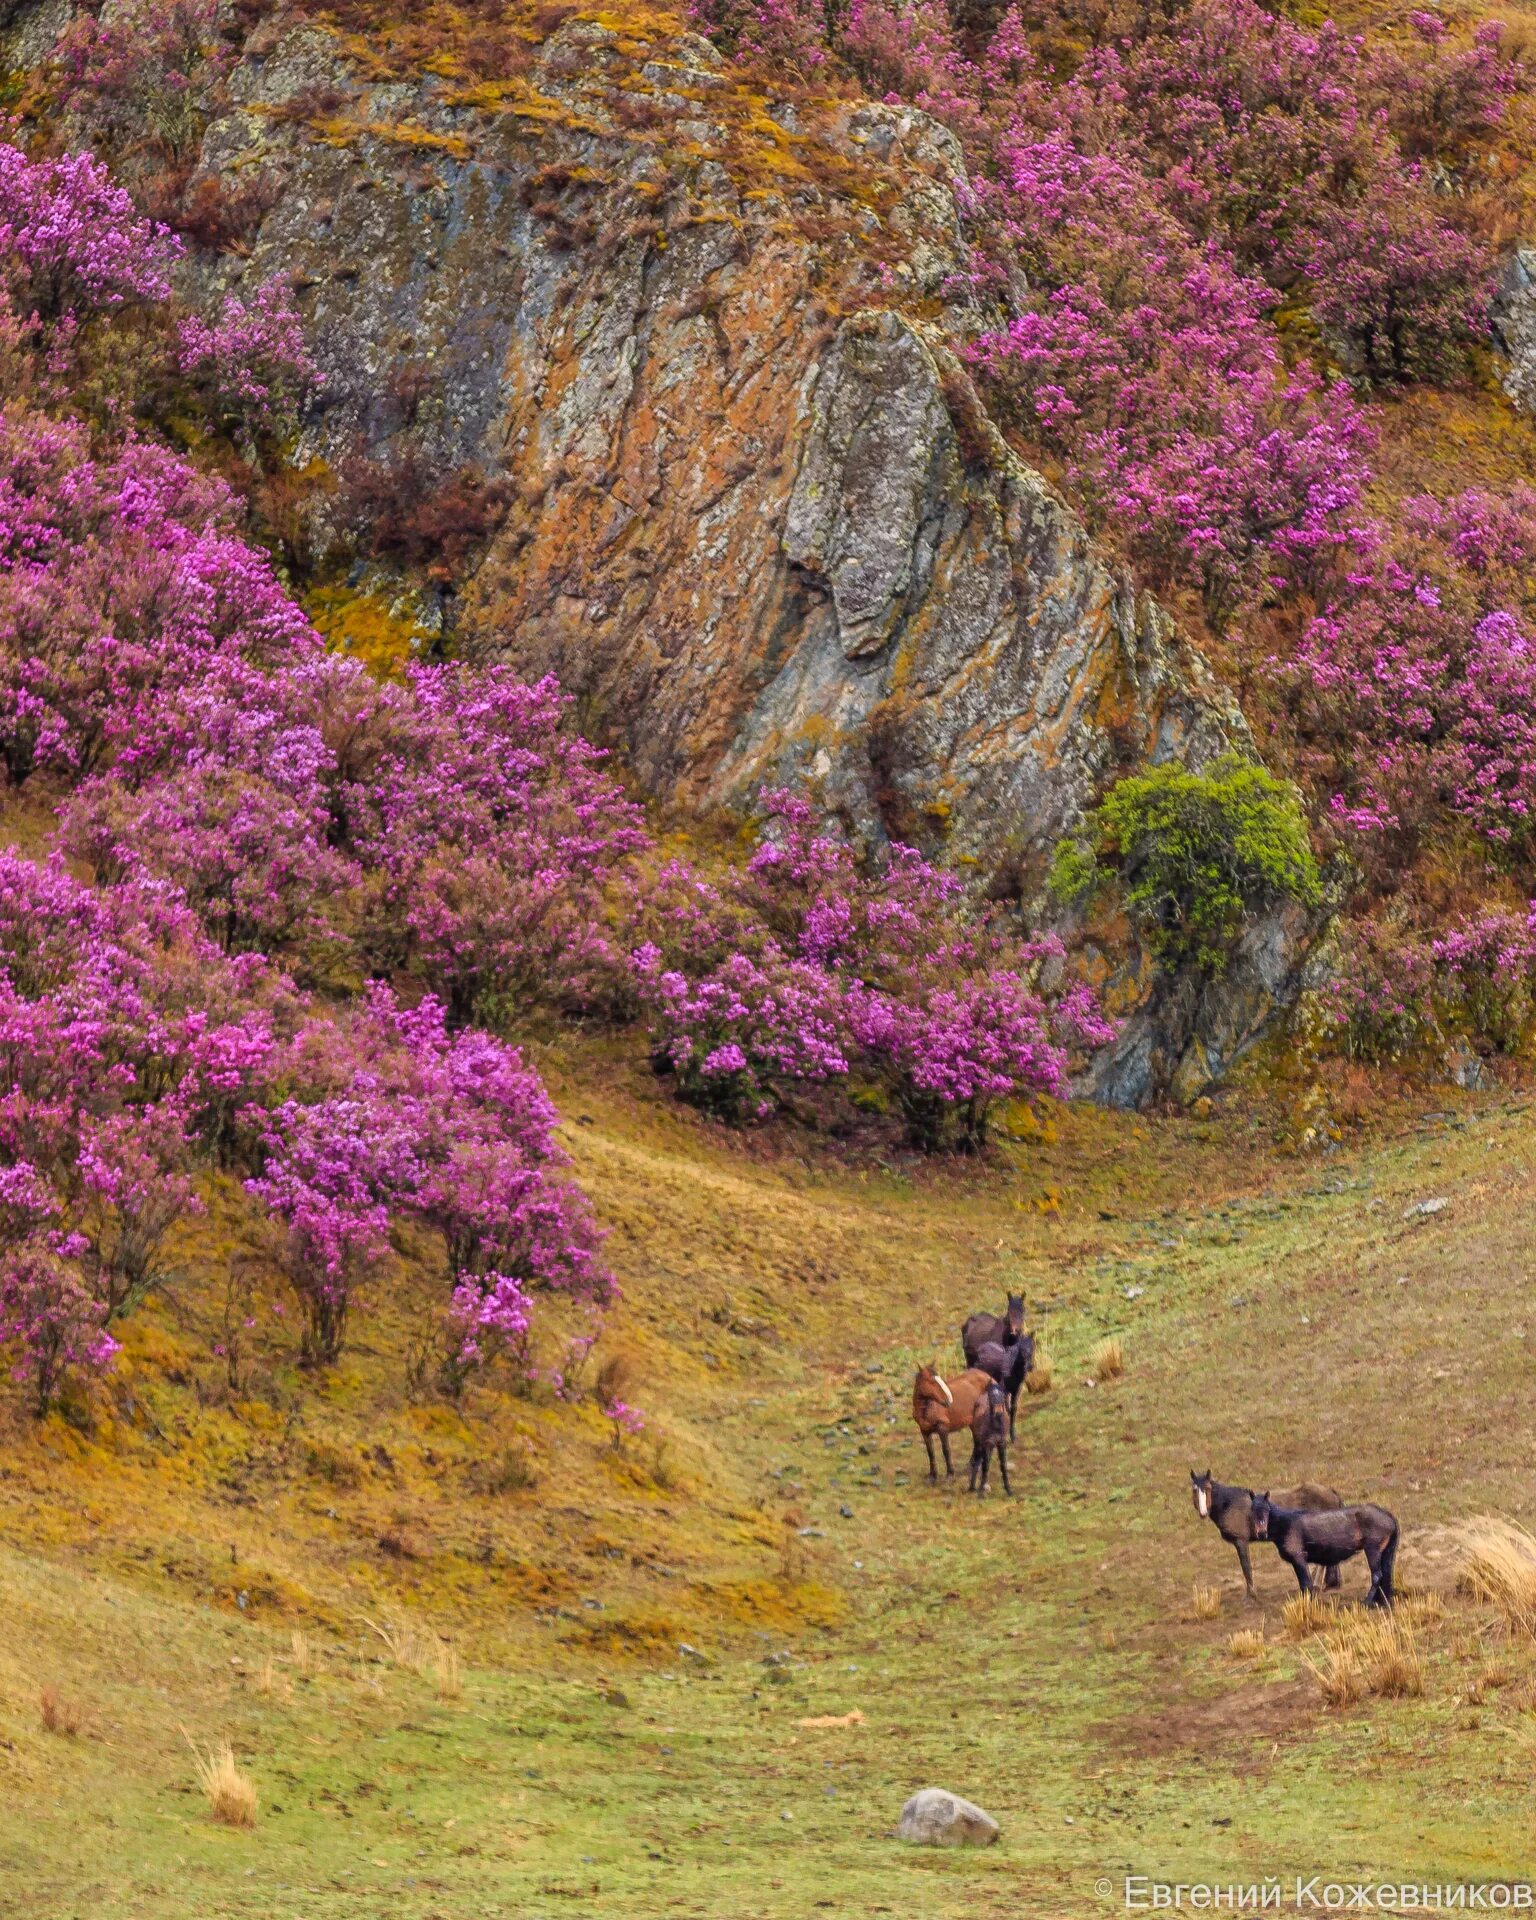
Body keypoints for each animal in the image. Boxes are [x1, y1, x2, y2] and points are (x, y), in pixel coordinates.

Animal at [1251, 1482, 1397, 1605]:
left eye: (1267, 1510)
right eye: (1253, 1509)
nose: (1261, 1533)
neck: (1287, 1524)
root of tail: (1389, 1517)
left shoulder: (1299, 1558)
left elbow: (1306, 1585)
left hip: (1372, 1550)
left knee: (1377, 1576)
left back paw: (1366, 1602)